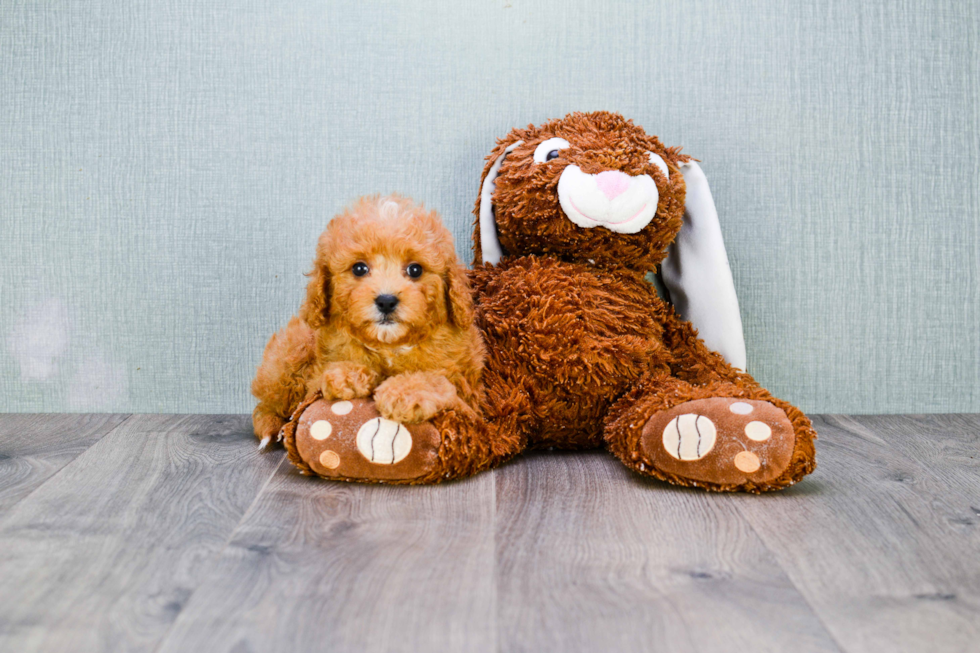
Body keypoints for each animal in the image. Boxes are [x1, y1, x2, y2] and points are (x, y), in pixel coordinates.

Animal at [251, 196, 484, 446]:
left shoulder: (470, 400)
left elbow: (436, 380)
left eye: (415, 270)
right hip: (291, 354)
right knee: (265, 405)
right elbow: (324, 376)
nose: (386, 301)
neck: (389, 345)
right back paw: (271, 427)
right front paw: (346, 374)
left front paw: (404, 393)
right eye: (359, 268)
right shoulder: (313, 383)